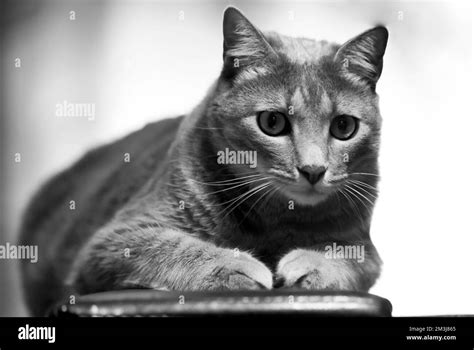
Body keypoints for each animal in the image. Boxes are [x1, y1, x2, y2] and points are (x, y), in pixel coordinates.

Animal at [19, 6, 388, 316]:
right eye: (272, 122)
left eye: (343, 127)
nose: (313, 170)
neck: (275, 220)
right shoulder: (111, 241)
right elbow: (170, 245)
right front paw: (238, 266)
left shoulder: (365, 248)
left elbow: (347, 258)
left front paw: (310, 266)